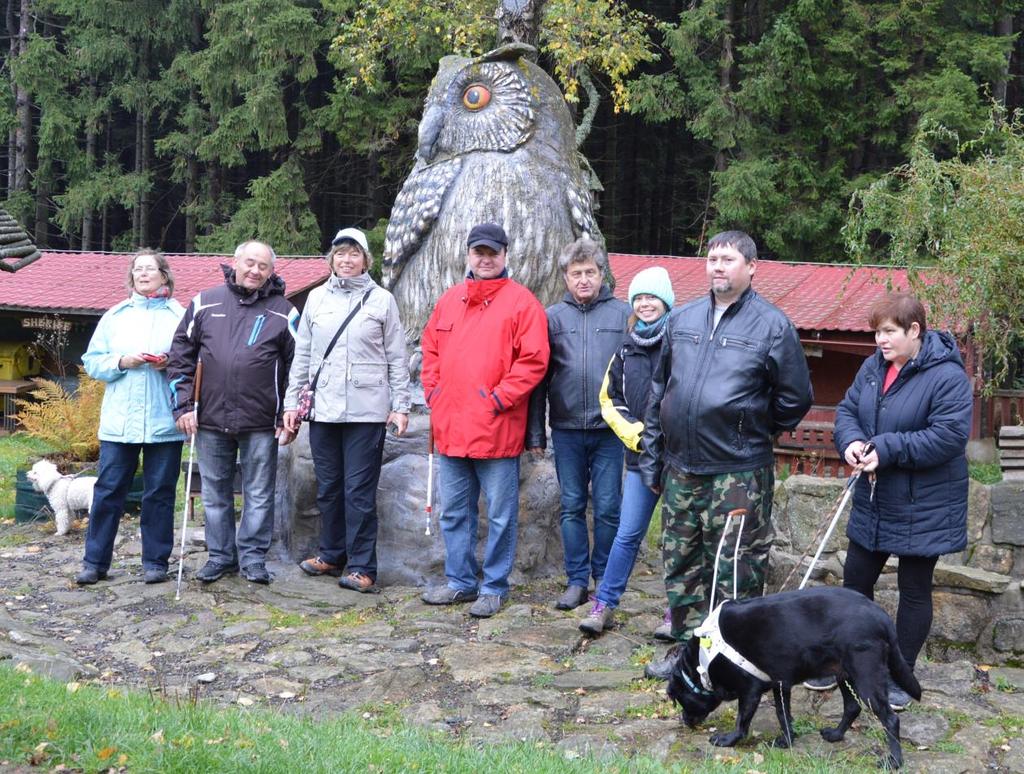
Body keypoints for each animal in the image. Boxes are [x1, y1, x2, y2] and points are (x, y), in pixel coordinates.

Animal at [667, 585, 925, 769]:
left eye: (681, 700)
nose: (684, 721)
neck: (701, 662)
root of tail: (881, 615)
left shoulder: (750, 690)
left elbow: (742, 721)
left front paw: (728, 740)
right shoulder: (781, 684)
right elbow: (783, 715)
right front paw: (788, 741)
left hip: (866, 676)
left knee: (890, 719)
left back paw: (894, 762)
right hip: (845, 674)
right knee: (852, 707)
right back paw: (835, 735)